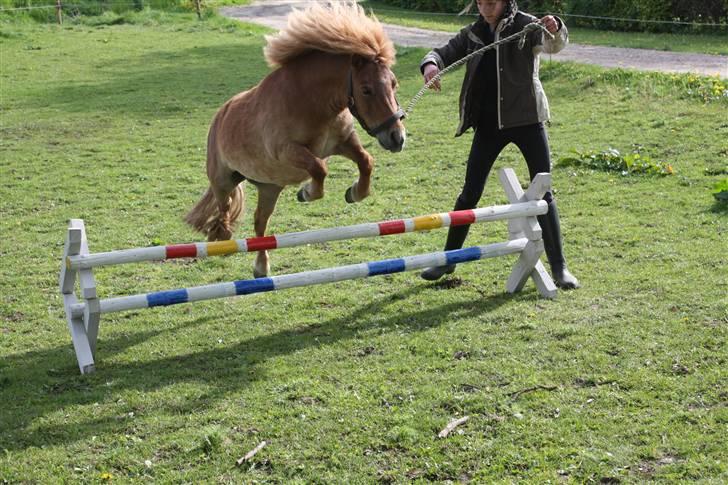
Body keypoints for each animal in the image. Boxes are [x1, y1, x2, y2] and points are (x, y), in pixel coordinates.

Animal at [185, 2, 407, 278]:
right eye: (366, 89)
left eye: (394, 84)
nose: (397, 138)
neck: (310, 101)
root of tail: (220, 116)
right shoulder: (288, 151)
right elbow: (319, 168)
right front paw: (308, 192)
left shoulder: (343, 142)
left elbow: (366, 161)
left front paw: (355, 193)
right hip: (223, 179)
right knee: (224, 206)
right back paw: (222, 234)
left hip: (269, 187)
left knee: (260, 223)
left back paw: (261, 267)